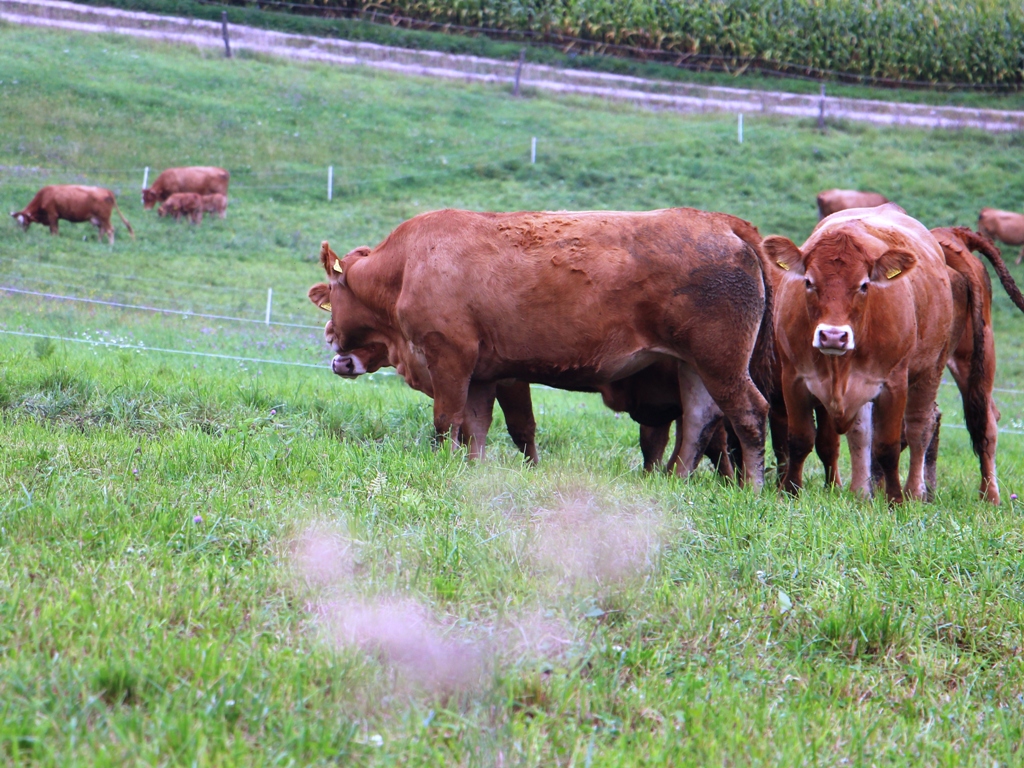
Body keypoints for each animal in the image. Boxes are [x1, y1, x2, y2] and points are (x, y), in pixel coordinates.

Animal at [307, 205, 770, 487]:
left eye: (333, 293)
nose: (330, 334)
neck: (408, 265)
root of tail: (720, 222)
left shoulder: (450, 357)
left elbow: (446, 420)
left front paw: (442, 464)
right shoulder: (484, 374)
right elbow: (477, 427)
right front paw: (474, 467)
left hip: (721, 362)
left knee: (748, 415)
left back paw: (752, 487)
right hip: (695, 366)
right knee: (699, 421)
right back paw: (676, 480)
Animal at [765, 204, 954, 505]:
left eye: (864, 285)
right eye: (808, 282)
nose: (832, 335)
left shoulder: (894, 383)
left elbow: (888, 446)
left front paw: (895, 500)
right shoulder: (793, 378)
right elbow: (800, 439)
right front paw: (790, 491)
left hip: (930, 371)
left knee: (918, 429)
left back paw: (914, 491)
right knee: (861, 435)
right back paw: (861, 491)